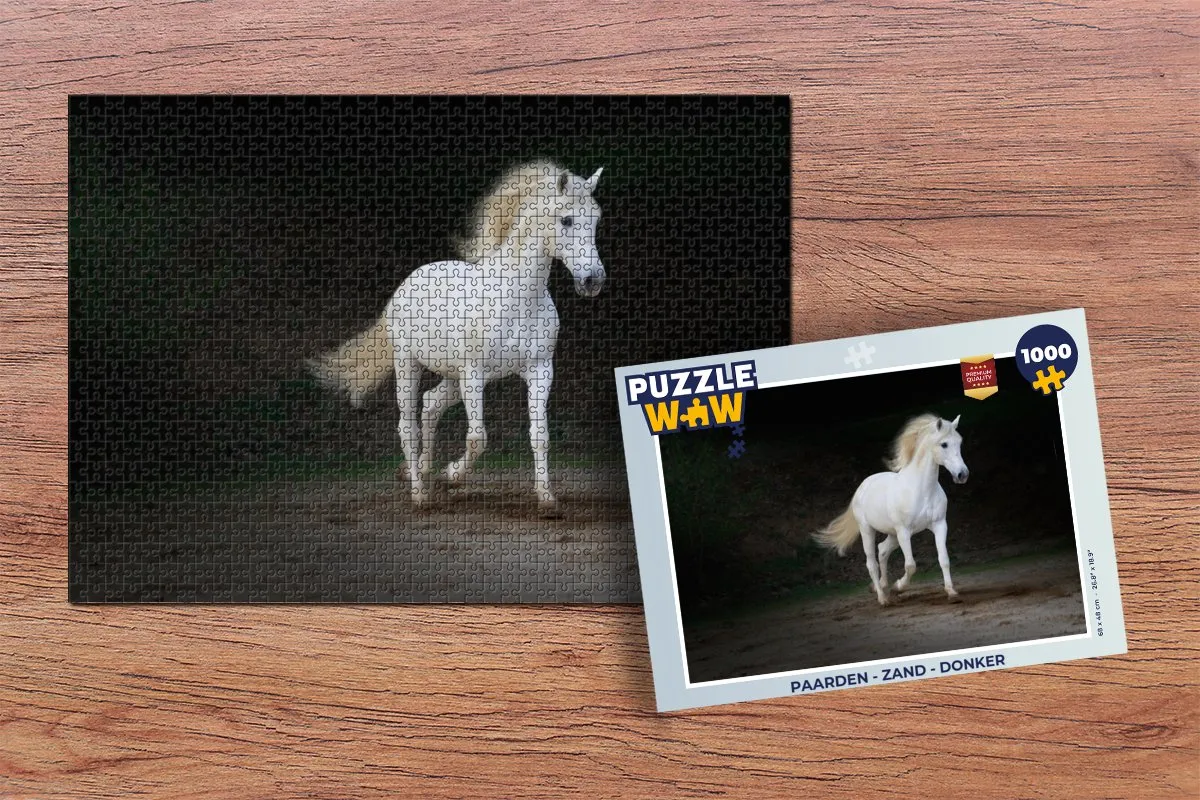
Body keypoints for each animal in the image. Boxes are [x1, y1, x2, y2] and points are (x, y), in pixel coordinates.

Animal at [307, 161, 606, 514]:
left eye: (596, 219)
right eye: (567, 220)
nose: (593, 280)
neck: (516, 298)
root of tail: (409, 281)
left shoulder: (540, 371)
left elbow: (540, 436)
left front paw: (547, 500)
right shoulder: (473, 376)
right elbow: (478, 438)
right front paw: (450, 477)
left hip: (451, 378)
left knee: (430, 404)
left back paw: (421, 471)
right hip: (409, 365)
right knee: (408, 424)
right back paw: (420, 493)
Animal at [813, 414, 970, 606]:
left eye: (959, 442)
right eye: (944, 444)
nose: (962, 474)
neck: (921, 490)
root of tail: (862, 487)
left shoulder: (939, 525)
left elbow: (944, 559)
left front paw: (952, 593)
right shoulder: (904, 531)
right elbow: (910, 565)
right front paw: (899, 587)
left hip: (893, 534)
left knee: (882, 550)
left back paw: (882, 585)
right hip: (868, 530)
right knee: (871, 563)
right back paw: (883, 598)